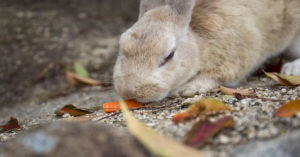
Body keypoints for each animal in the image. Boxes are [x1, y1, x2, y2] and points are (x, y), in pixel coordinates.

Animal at [112, 0, 300, 102]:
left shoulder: (238, 54)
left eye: (169, 55)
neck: (198, 43)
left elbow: (219, 75)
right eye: (122, 45)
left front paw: (190, 88)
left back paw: (291, 69)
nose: (129, 93)